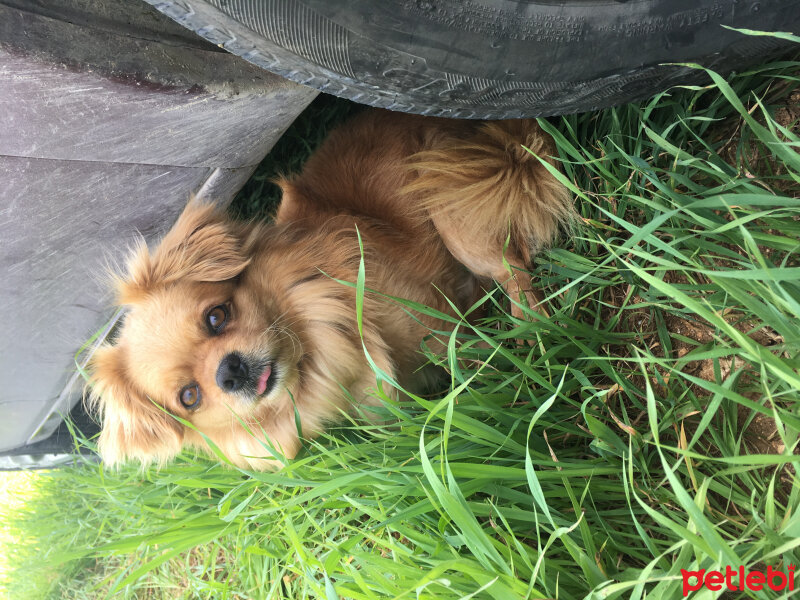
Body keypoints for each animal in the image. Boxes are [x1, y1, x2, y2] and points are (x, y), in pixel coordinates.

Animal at [89, 110, 568, 472]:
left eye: (216, 316)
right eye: (189, 396)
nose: (230, 372)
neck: (323, 340)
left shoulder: (435, 327)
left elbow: (469, 356)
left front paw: (509, 386)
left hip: (450, 201)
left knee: (514, 272)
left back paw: (535, 338)